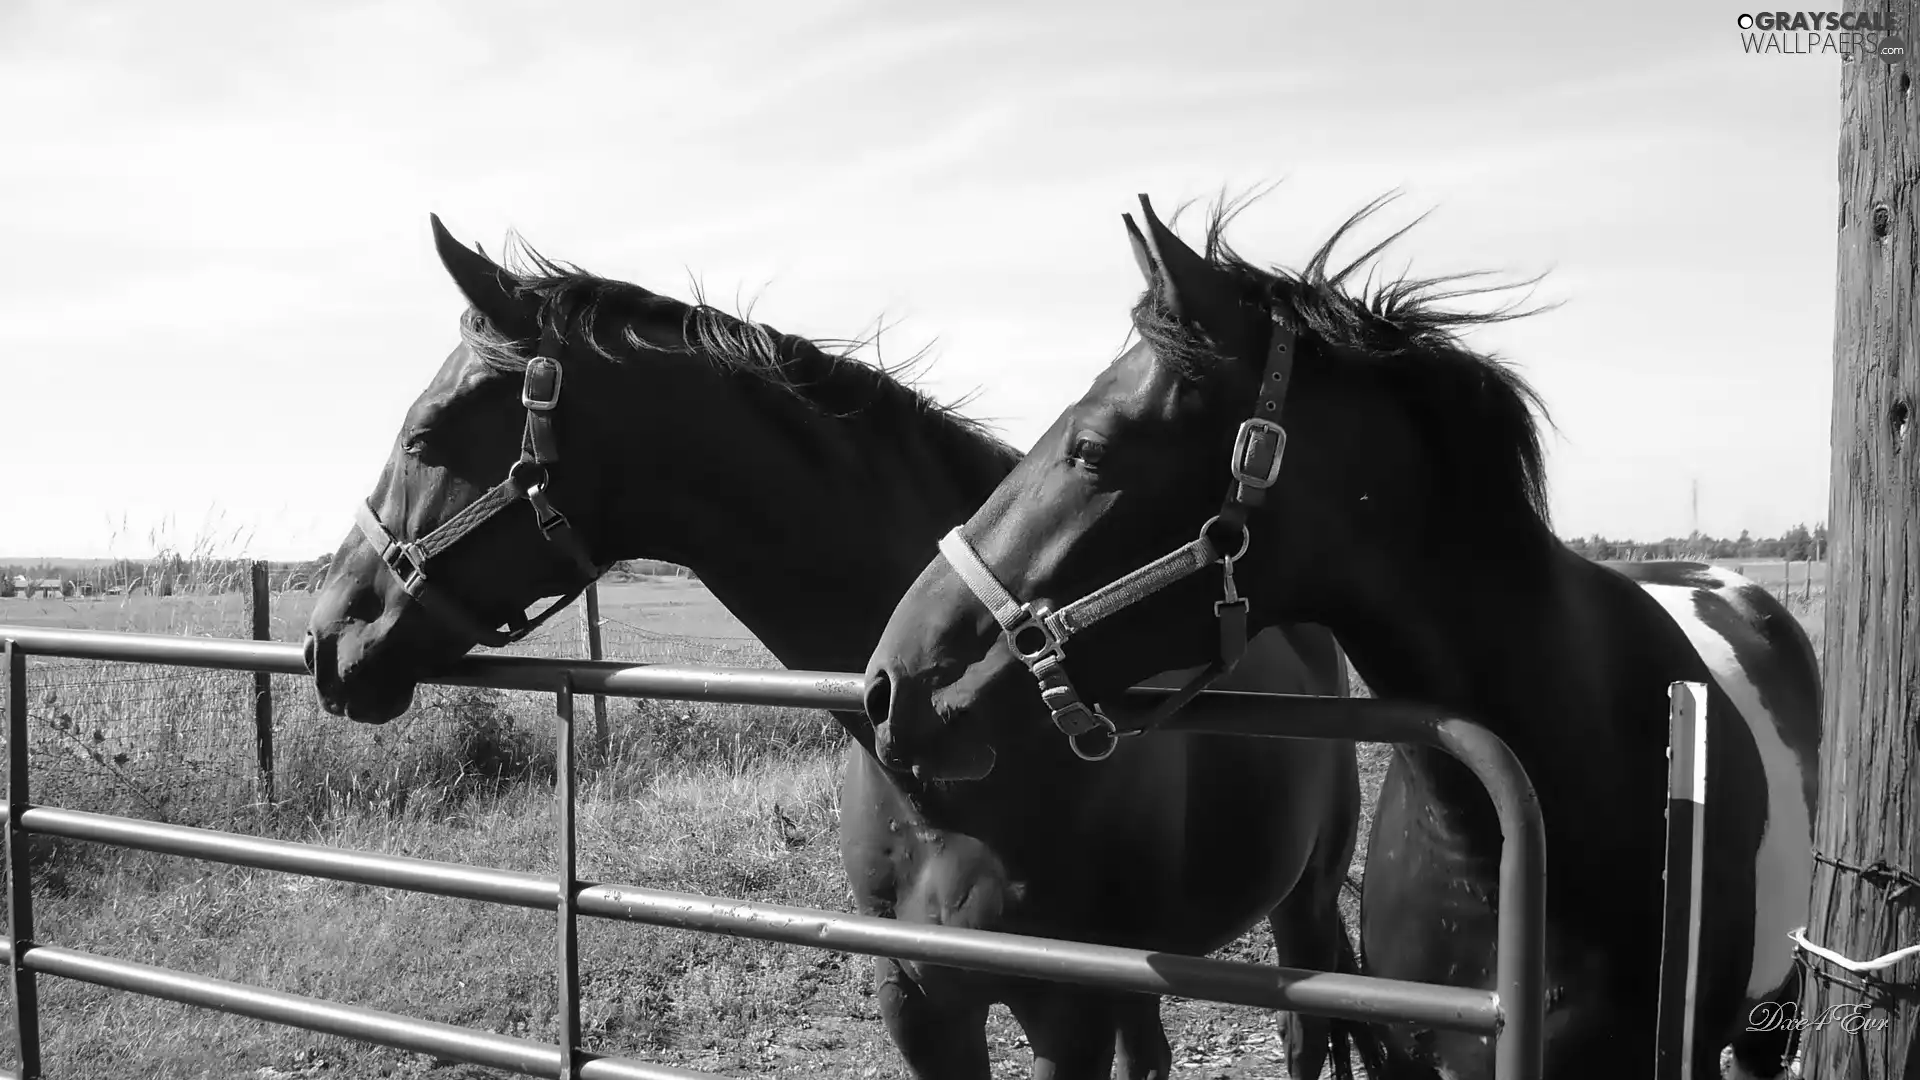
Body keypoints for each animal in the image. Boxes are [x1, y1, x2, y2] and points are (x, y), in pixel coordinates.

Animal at [307, 216, 1374, 1076]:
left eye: (426, 433)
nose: (328, 637)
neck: (954, 776)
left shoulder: (1062, 1009)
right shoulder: (921, 1002)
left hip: (1305, 905)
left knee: (1306, 1035)